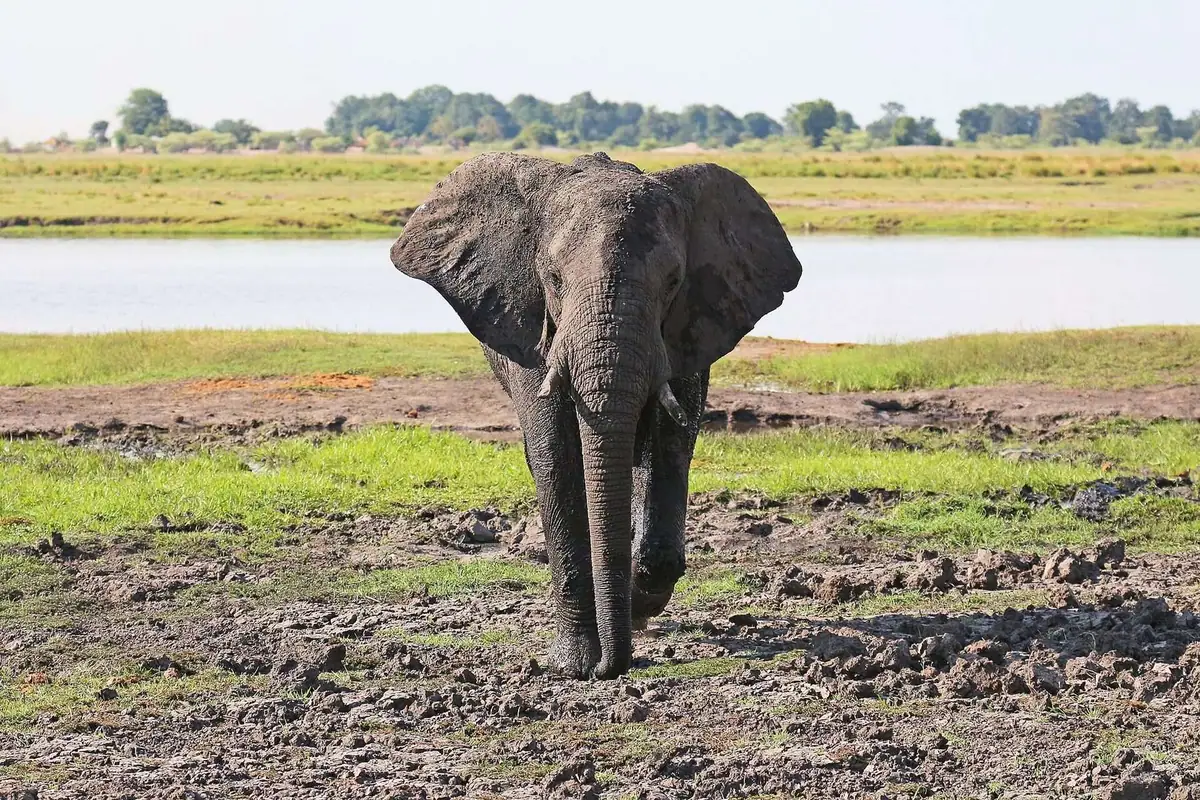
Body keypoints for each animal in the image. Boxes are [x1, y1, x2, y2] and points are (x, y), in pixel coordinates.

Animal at [390, 151, 801, 679]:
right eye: (552, 279)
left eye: (674, 281)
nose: (612, 666)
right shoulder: (535, 328)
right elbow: (554, 454)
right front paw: (576, 664)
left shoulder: (685, 330)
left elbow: (671, 440)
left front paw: (635, 608)